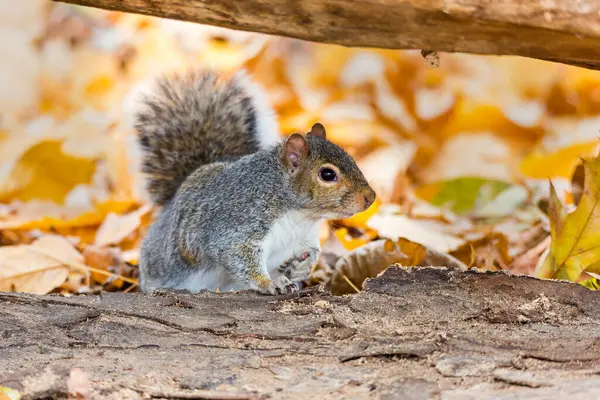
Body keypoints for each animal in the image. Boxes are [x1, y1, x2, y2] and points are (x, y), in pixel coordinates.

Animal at [136, 68, 376, 294]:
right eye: (327, 174)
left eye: (351, 158)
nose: (370, 197)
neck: (299, 215)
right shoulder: (237, 226)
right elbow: (238, 256)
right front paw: (269, 283)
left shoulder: (304, 237)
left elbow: (311, 251)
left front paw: (303, 265)